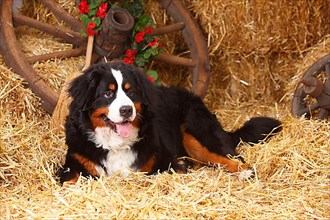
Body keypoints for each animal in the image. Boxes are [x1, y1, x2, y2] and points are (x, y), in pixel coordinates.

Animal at [58, 61, 282, 183]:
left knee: (230, 157)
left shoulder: (167, 163)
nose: (126, 110)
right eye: (107, 93)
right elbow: (70, 180)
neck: (115, 145)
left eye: (131, 92)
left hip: (197, 135)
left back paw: (245, 172)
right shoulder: (73, 163)